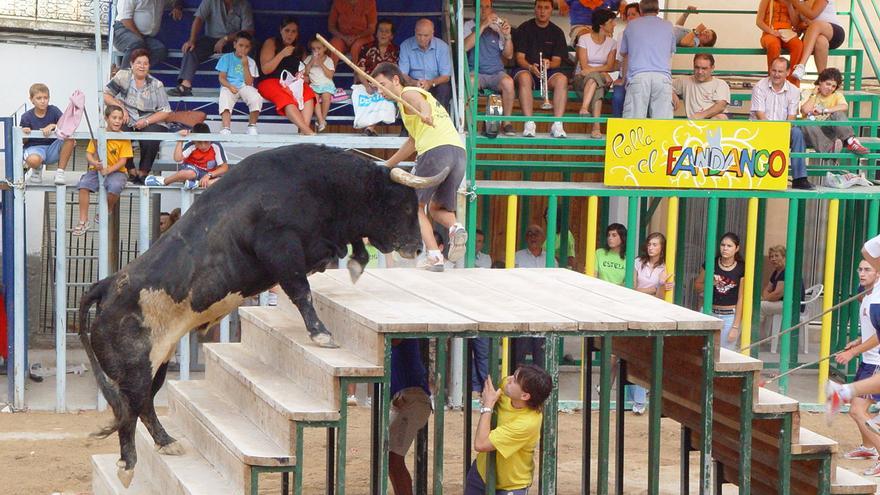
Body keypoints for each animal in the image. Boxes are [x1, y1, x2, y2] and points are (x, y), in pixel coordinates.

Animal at [77, 143, 446, 484]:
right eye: (405, 205)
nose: (416, 247)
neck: (317, 183)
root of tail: (107, 286)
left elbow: (349, 250)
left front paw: (354, 264)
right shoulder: (281, 250)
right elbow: (301, 291)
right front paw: (321, 333)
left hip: (159, 362)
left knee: (145, 404)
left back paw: (167, 442)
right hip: (135, 369)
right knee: (130, 409)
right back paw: (128, 465)